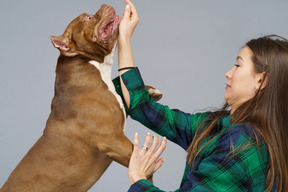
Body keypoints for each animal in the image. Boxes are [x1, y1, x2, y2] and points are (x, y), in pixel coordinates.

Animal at [0, 4, 162, 192]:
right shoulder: (112, 140)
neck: (89, 63)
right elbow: (142, 164)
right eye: (88, 18)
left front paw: (152, 91)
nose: (104, 5)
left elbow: (125, 92)